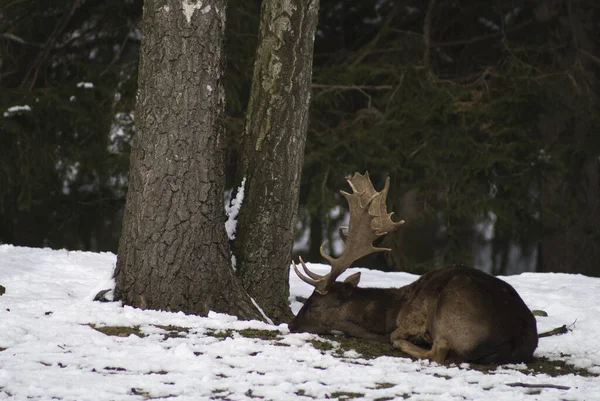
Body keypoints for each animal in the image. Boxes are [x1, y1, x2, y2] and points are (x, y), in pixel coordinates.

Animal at [288, 170, 536, 364]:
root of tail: (515, 341)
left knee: (438, 352)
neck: (389, 312)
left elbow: (396, 334)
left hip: (452, 317)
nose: (291, 325)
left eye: (314, 306)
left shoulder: (413, 319)